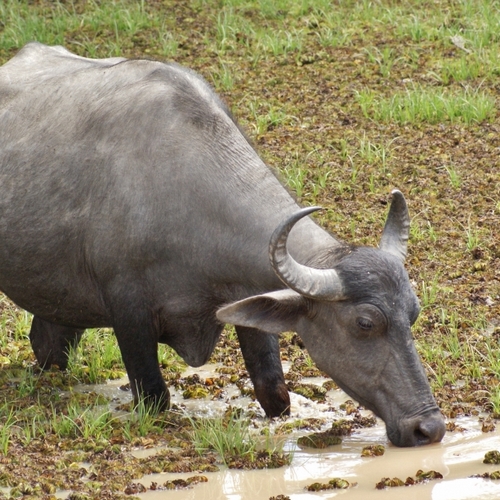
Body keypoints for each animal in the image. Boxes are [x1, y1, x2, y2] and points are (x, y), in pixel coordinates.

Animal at [0, 43, 446, 448]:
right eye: (365, 322)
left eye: (414, 311)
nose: (428, 428)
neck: (181, 192)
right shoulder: (129, 315)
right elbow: (155, 399)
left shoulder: (249, 302)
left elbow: (275, 393)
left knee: (47, 345)